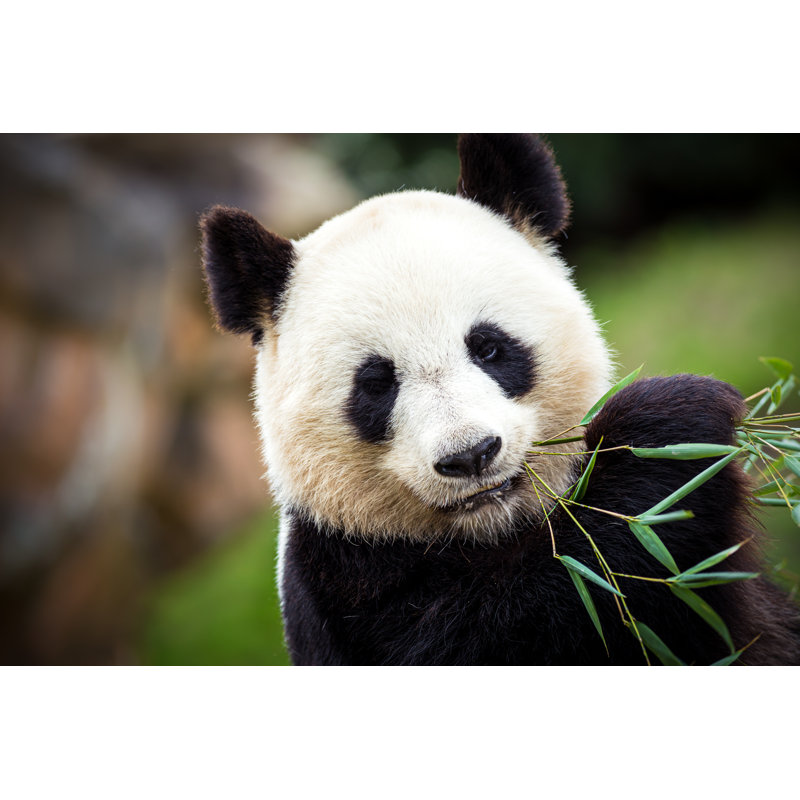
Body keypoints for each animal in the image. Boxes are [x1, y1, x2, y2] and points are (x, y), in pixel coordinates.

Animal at [200, 134, 800, 665]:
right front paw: (672, 423)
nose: (470, 456)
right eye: (376, 383)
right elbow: (526, 615)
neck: (491, 529)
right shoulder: (341, 579)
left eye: (488, 346)